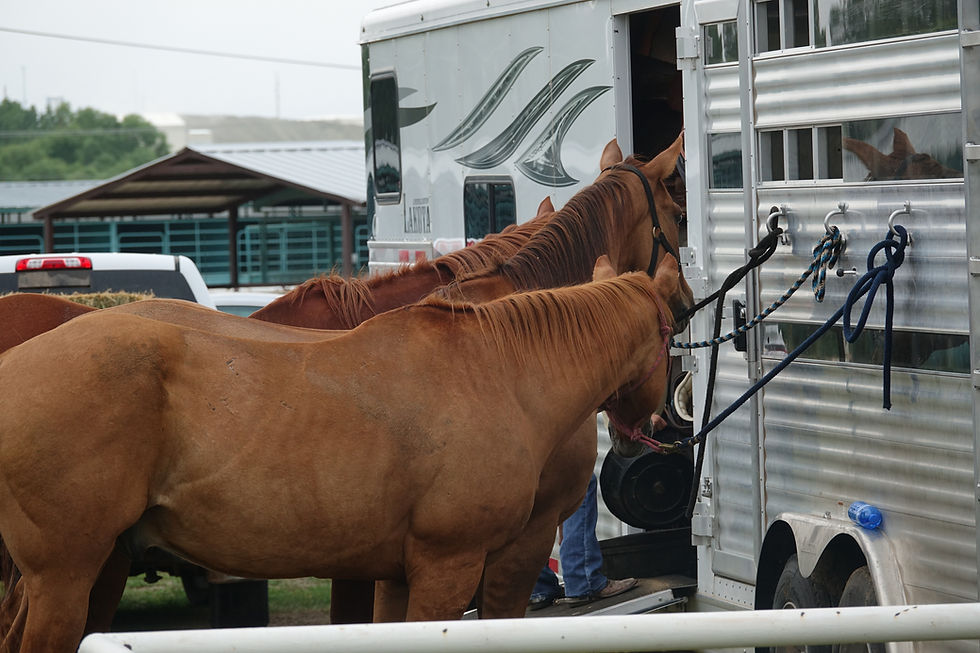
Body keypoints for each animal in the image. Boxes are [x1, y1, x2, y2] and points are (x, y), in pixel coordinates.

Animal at [0, 252, 689, 653]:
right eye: (678, 323)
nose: (659, 424)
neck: (498, 371)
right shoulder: (453, 566)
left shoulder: (397, 572)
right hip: (65, 576)